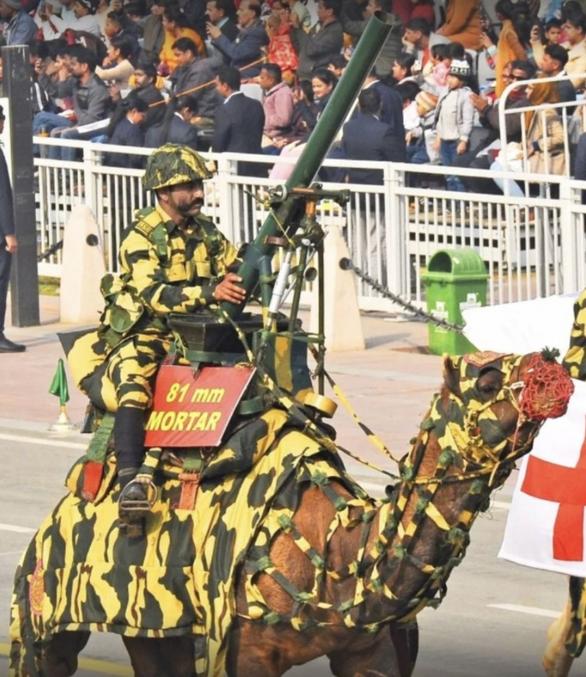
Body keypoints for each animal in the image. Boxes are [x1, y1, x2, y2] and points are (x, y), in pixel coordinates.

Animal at [10, 352, 572, 672]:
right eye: (487, 380)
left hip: (153, 628)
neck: (343, 554)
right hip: (44, 602)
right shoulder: (245, 650)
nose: (554, 369)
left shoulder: (369, 649)